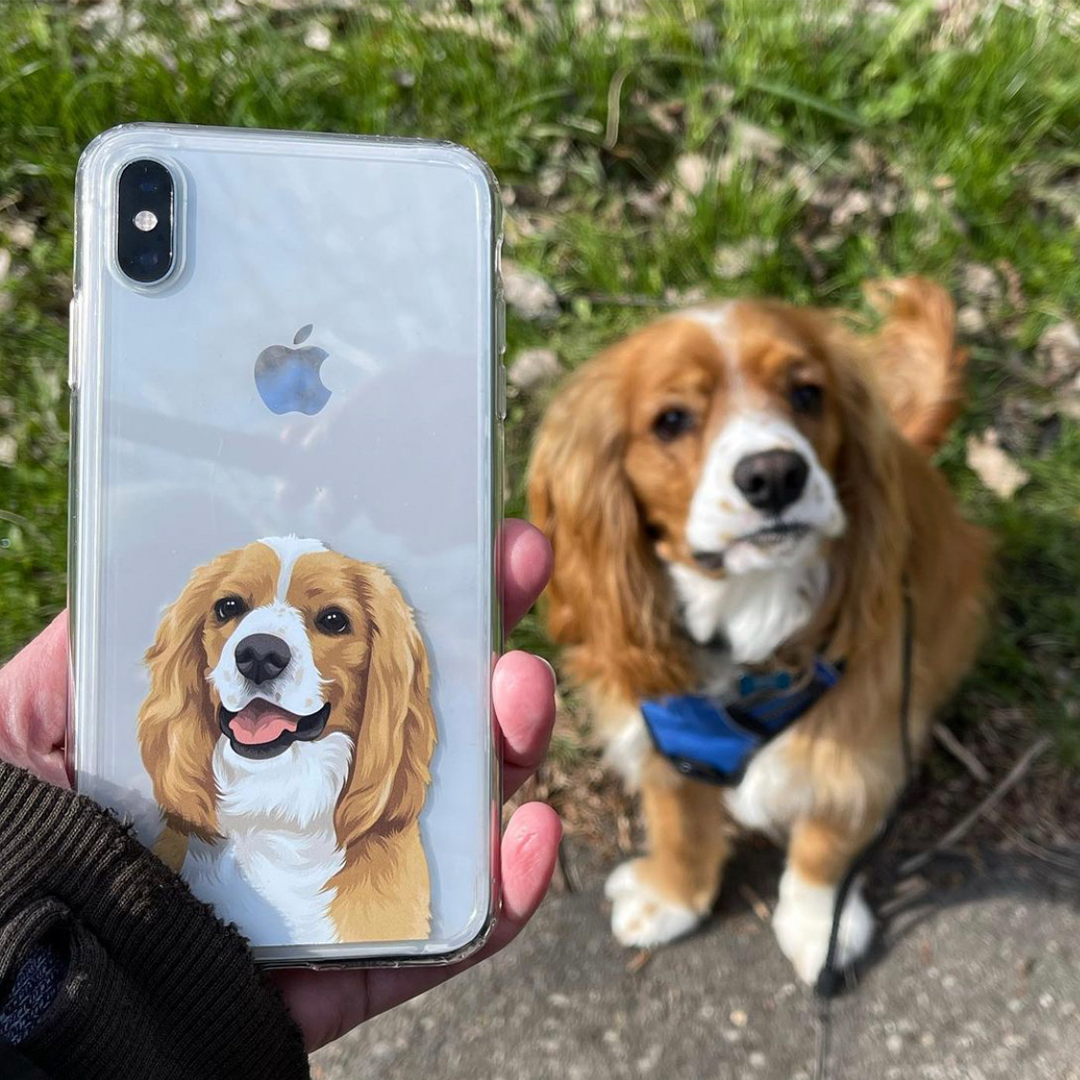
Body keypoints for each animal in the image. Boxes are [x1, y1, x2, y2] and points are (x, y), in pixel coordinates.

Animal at [529, 280, 989, 989]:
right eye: (671, 420)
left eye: (807, 394)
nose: (774, 474)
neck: (748, 609)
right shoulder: (661, 731)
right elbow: (679, 823)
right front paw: (671, 897)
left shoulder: (859, 748)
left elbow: (825, 846)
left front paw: (818, 927)